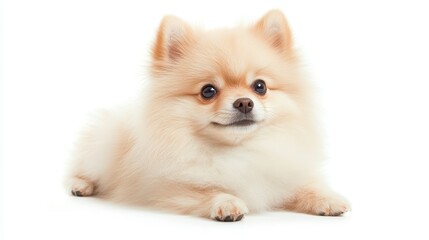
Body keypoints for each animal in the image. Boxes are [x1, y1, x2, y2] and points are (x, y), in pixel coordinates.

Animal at [68, 10, 350, 222]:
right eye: (208, 91)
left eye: (260, 86)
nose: (244, 102)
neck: (238, 151)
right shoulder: (163, 188)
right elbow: (205, 190)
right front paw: (226, 202)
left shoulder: (280, 176)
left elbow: (304, 186)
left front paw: (327, 198)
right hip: (101, 145)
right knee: (83, 168)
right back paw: (80, 185)